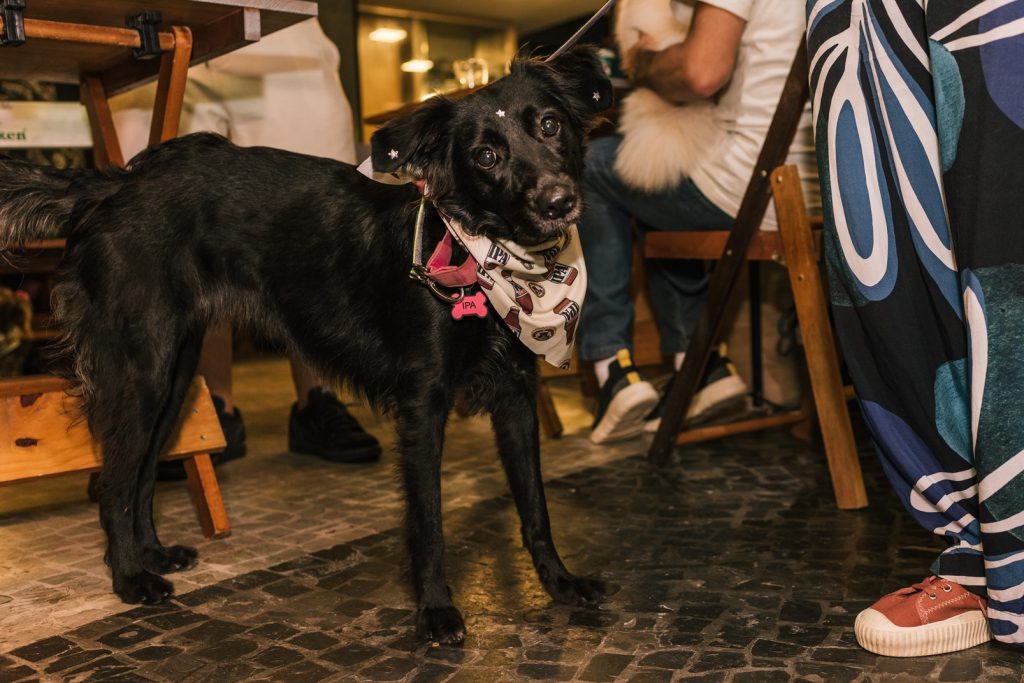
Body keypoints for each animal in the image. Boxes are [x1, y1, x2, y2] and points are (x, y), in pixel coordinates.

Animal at [0, 46, 606, 643]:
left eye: (549, 125)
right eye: (485, 156)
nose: (558, 201)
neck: (481, 252)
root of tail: (112, 185)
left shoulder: (517, 397)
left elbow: (535, 507)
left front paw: (559, 583)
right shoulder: (423, 406)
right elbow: (428, 520)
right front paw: (434, 609)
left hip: (175, 374)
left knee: (144, 472)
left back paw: (151, 554)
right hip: (142, 371)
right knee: (115, 482)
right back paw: (130, 578)